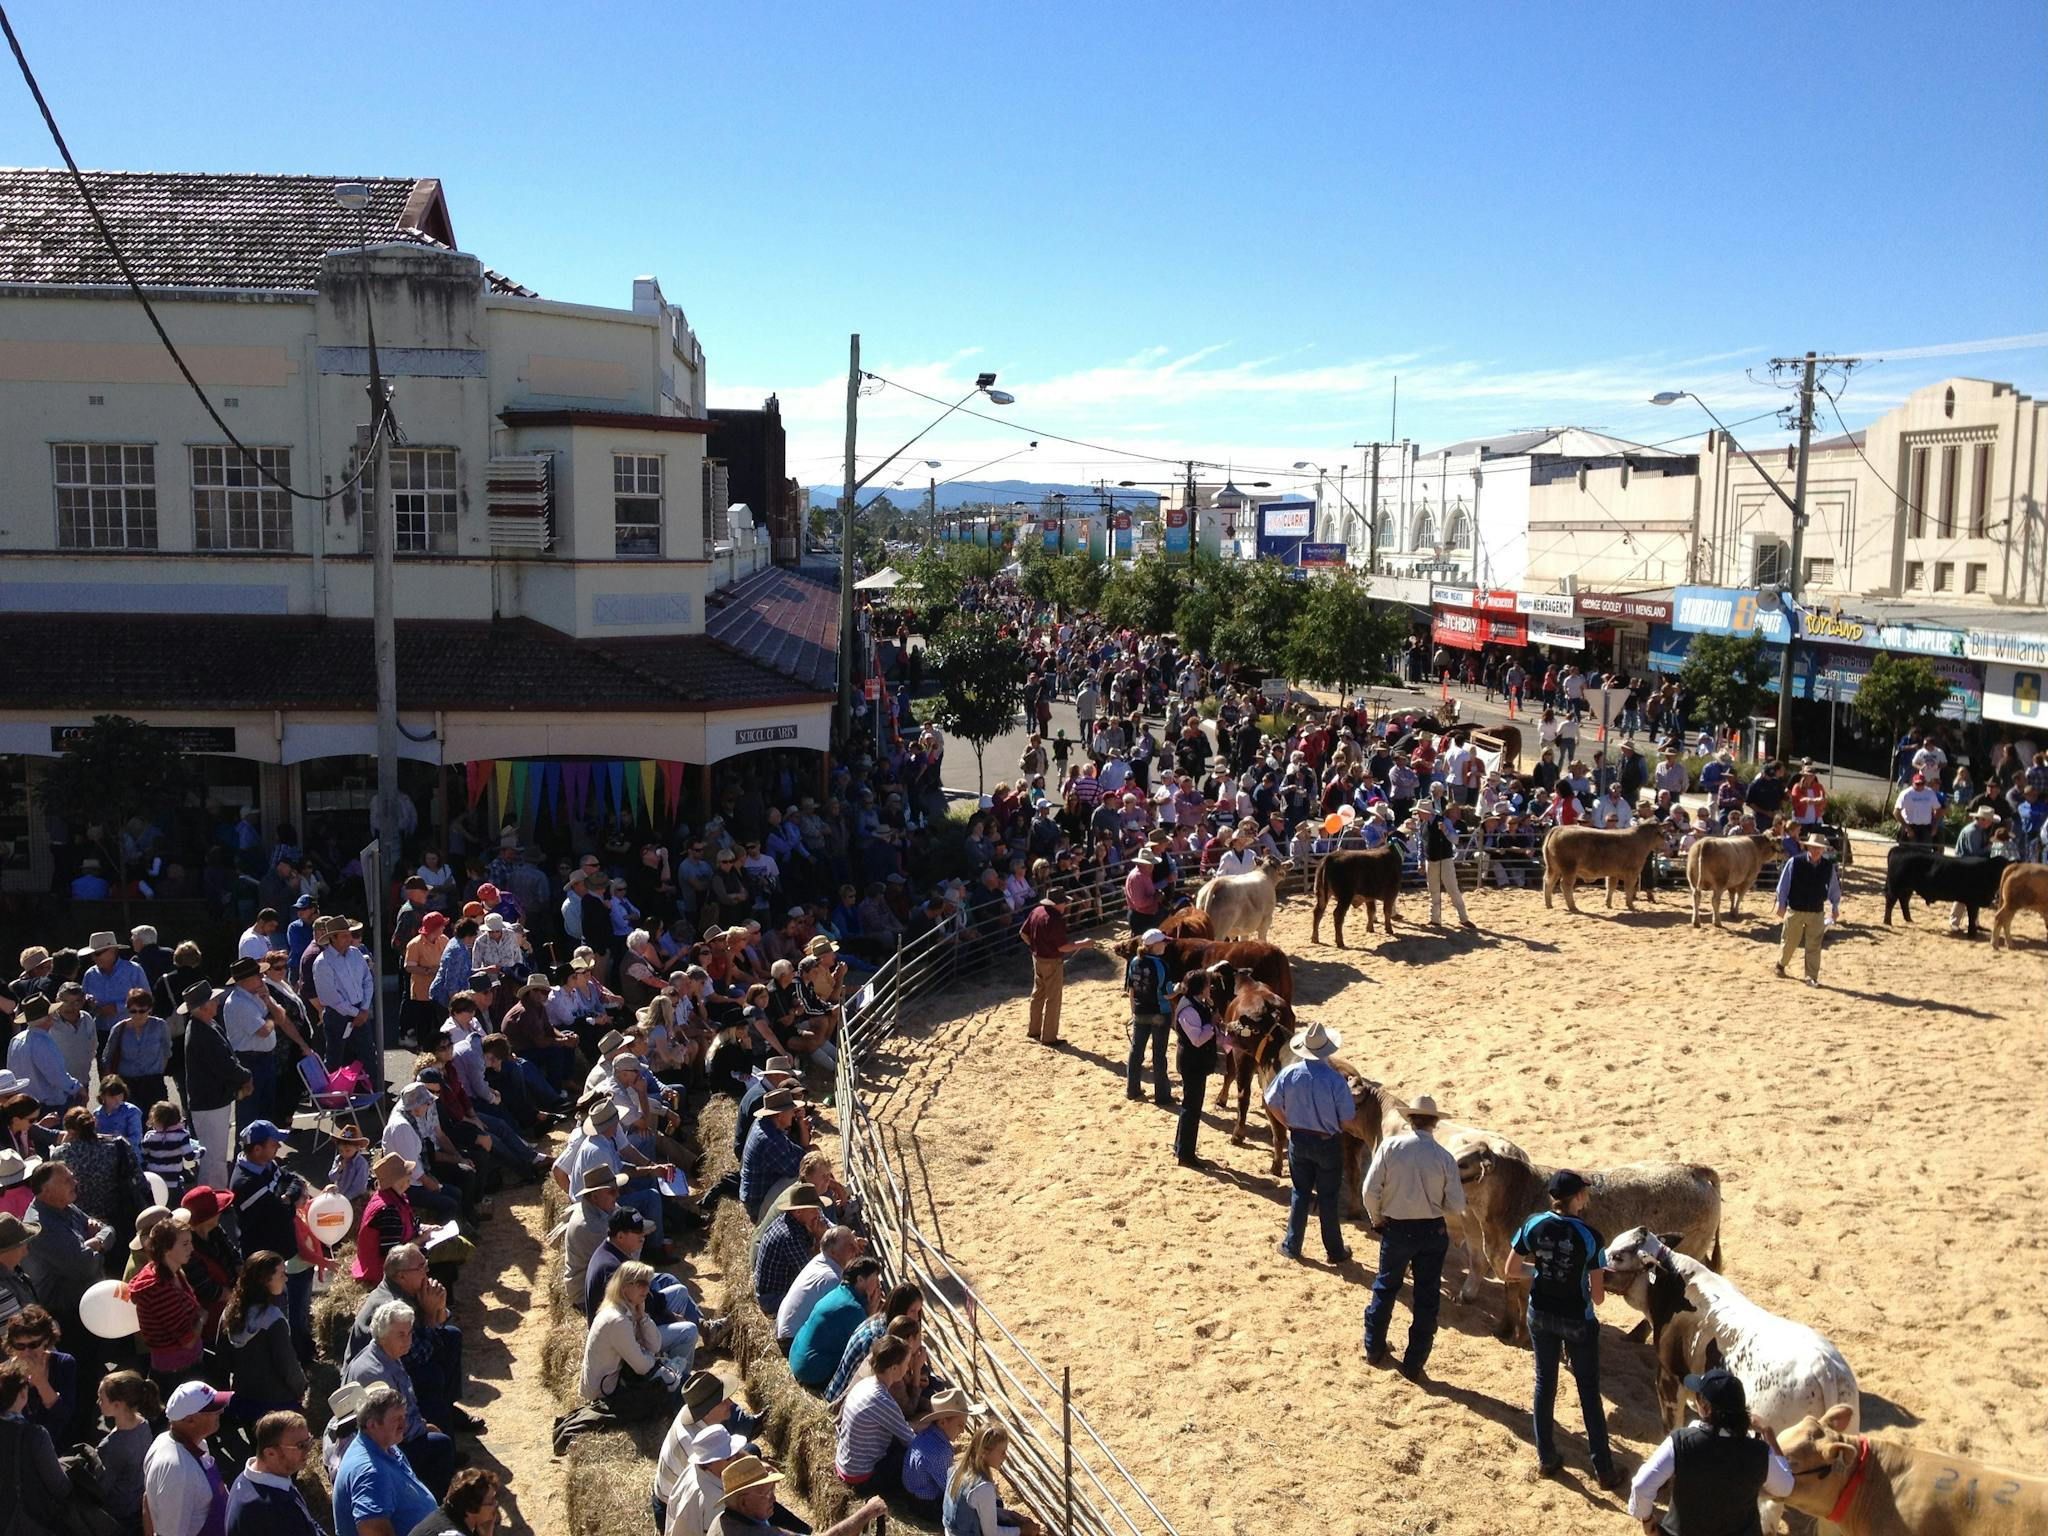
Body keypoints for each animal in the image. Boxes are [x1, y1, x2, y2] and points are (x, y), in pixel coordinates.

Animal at [1449, 1146, 1720, 1343]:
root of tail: (1694, 1170)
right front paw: (1504, 1330)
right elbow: (1510, 1296)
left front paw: (1524, 1338)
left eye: (1463, 1164)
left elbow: (1523, 1299)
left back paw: (1637, 1335)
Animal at [1540, 831, 1671, 913]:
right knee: (1565, 885)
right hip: (1568, 869)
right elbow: (1628, 888)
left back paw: (1549, 905)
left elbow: (1611, 887)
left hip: (1553, 868)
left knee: (1548, 882)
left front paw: (1608, 904)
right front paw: (1631, 905)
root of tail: (1557, 829)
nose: (1667, 846)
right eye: (1662, 835)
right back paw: (1573, 907)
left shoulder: (1613, 874)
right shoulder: (1632, 873)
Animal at [1875, 843, 2007, 937]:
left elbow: (1973, 917)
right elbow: (1972, 917)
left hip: (1907, 888)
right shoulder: (1972, 902)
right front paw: (1972, 934)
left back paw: (1909, 920)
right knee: (1891, 902)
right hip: (1896, 886)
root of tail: (1898, 848)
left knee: (1904, 901)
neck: (1988, 870)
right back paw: (1887, 922)